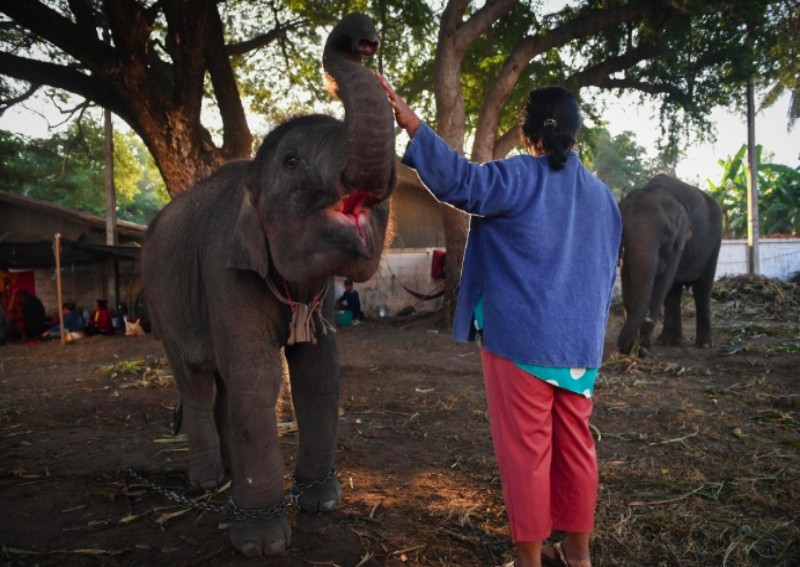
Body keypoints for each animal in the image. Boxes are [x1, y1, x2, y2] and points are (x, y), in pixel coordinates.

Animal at [140, 14, 395, 557]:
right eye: (292, 163)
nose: (363, 37)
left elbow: (320, 370)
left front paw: (322, 503)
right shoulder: (223, 268)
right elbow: (257, 374)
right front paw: (261, 544)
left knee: (220, 383)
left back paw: (228, 474)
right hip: (160, 296)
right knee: (196, 377)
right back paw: (208, 480)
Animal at [617, 174, 722, 355]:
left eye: (666, 233)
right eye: (624, 231)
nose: (647, 321)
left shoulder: (678, 243)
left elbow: (662, 281)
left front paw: (642, 347)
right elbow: (627, 278)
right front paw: (634, 345)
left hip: (715, 242)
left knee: (702, 288)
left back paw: (704, 344)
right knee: (674, 290)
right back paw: (667, 341)